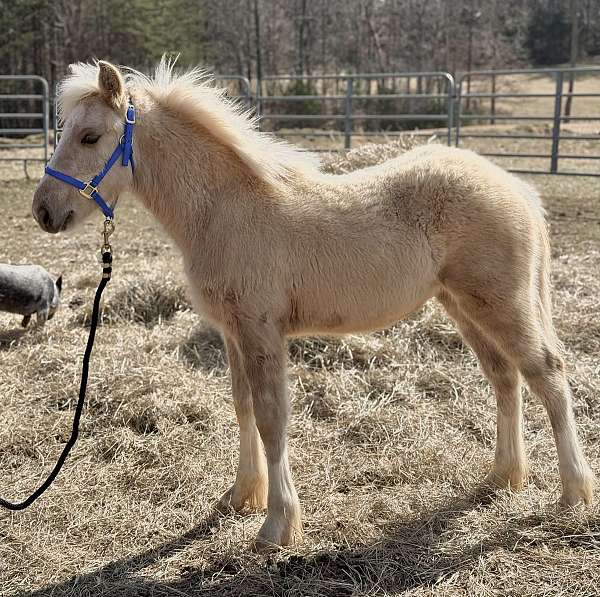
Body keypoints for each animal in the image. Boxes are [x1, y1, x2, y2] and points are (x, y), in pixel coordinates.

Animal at [34, 60, 596, 548]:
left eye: (89, 137)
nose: (43, 212)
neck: (225, 211)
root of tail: (520, 188)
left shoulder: (261, 330)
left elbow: (271, 417)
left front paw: (276, 526)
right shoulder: (233, 332)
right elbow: (241, 407)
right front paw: (241, 497)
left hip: (501, 303)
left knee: (547, 373)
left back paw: (573, 493)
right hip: (464, 306)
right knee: (506, 378)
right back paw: (505, 476)